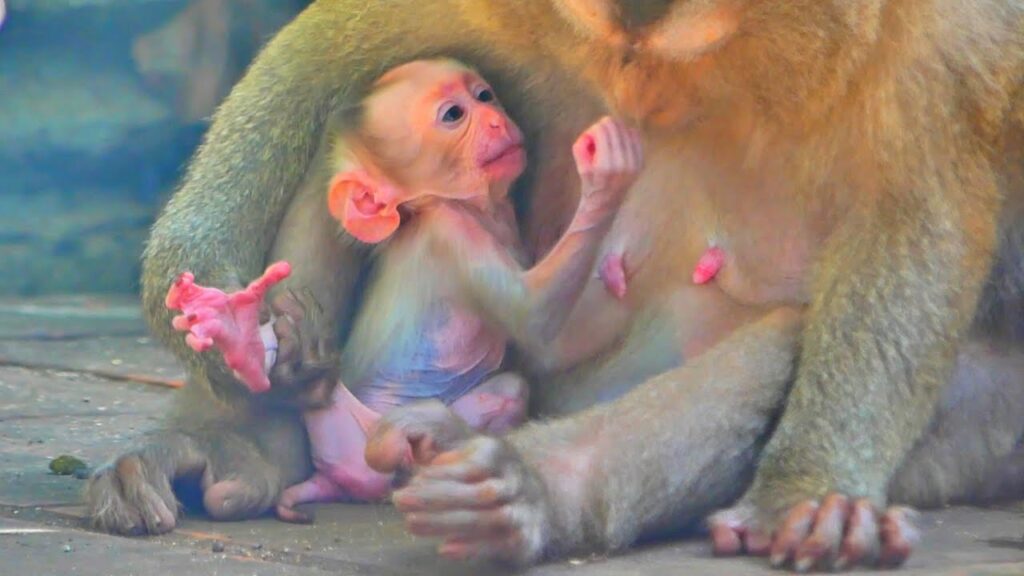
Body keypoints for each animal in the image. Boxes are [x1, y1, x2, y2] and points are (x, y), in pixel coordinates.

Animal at [162, 58, 643, 522]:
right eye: (453, 115)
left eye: (484, 95)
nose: (495, 120)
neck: (473, 209)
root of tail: (340, 479)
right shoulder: (452, 234)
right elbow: (536, 323)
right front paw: (606, 178)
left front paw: (613, 272)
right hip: (347, 435)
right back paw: (241, 341)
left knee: (508, 390)